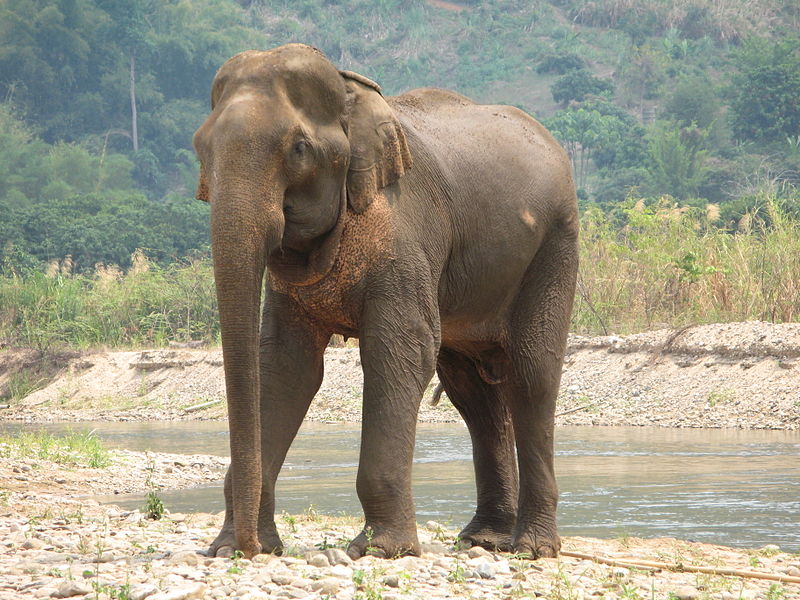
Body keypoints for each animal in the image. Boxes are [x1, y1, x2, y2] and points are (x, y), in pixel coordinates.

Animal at [192, 43, 578, 560]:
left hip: (556, 243)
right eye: (201, 148)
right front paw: (228, 549)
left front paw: (380, 550)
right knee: (472, 392)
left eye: (299, 149)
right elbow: (286, 366)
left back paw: (531, 548)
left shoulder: (403, 230)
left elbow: (399, 349)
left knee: (532, 374)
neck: (350, 93)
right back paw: (484, 538)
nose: (249, 549)